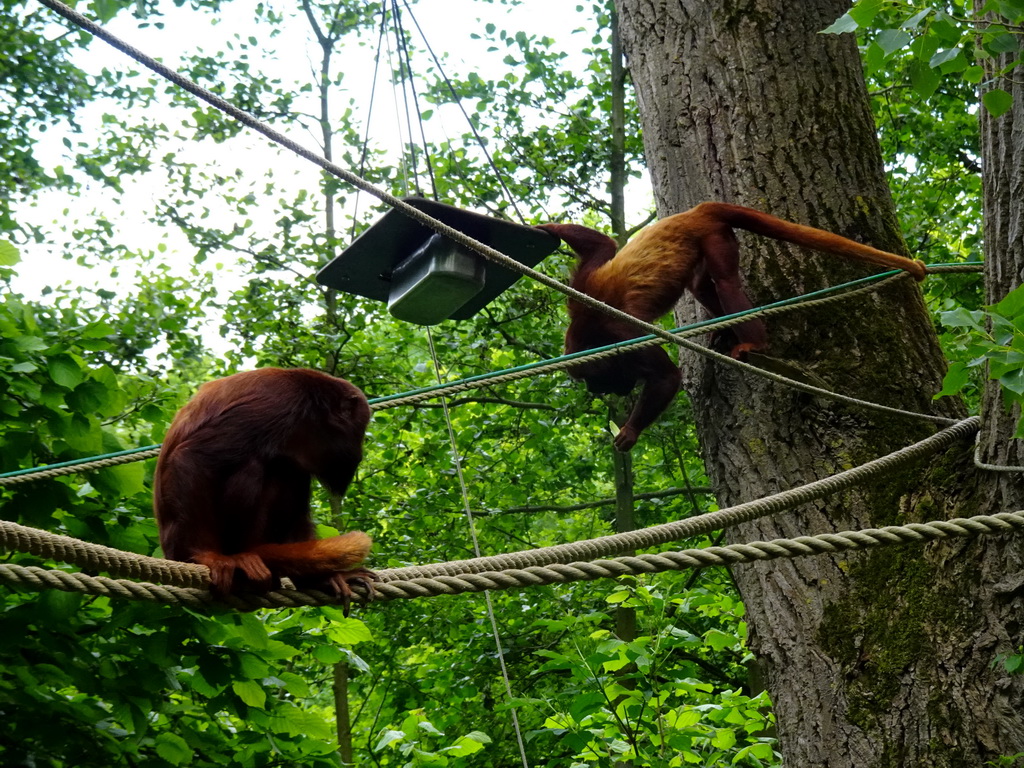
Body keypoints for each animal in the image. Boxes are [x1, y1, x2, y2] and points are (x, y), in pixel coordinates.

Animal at [149, 366, 374, 606]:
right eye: (360, 431)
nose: (360, 453)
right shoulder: (278, 403)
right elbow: (194, 457)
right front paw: (205, 555)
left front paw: (320, 579)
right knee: (254, 464)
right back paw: (242, 556)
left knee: (289, 470)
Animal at [536, 201, 929, 454]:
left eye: (594, 379)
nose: (600, 392)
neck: (591, 330)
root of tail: (698, 211)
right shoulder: (582, 290)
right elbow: (604, 245)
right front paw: (545, 229)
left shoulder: (623, 334)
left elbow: (666, 377)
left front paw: (630, 431)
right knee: (700, 286)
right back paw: (725, 329)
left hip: (714, 235)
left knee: (725, 281)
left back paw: (752, 343)